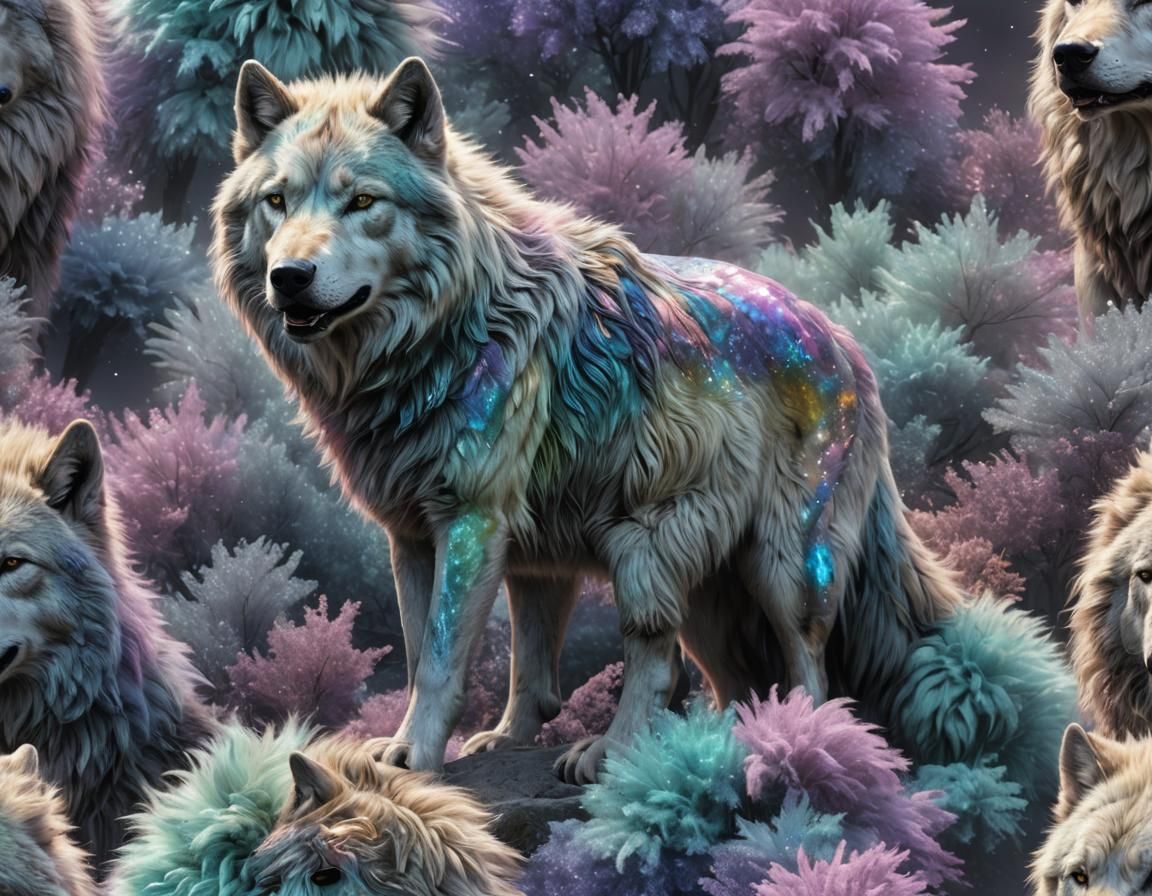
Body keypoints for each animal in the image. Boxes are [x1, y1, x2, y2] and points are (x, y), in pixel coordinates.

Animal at [212, 57, 963, 783]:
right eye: (277, 201)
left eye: (362, 201)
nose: (290, 276)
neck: (443, 331)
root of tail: (840, 336)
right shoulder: (425, 536)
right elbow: (466, 653)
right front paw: (462, 742)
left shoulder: (471, 520)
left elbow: (440, 662)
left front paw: (411, 757)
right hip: (697, 592)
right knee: (713, 679)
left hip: (745, 562)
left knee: (767, 669)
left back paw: (654, 752)